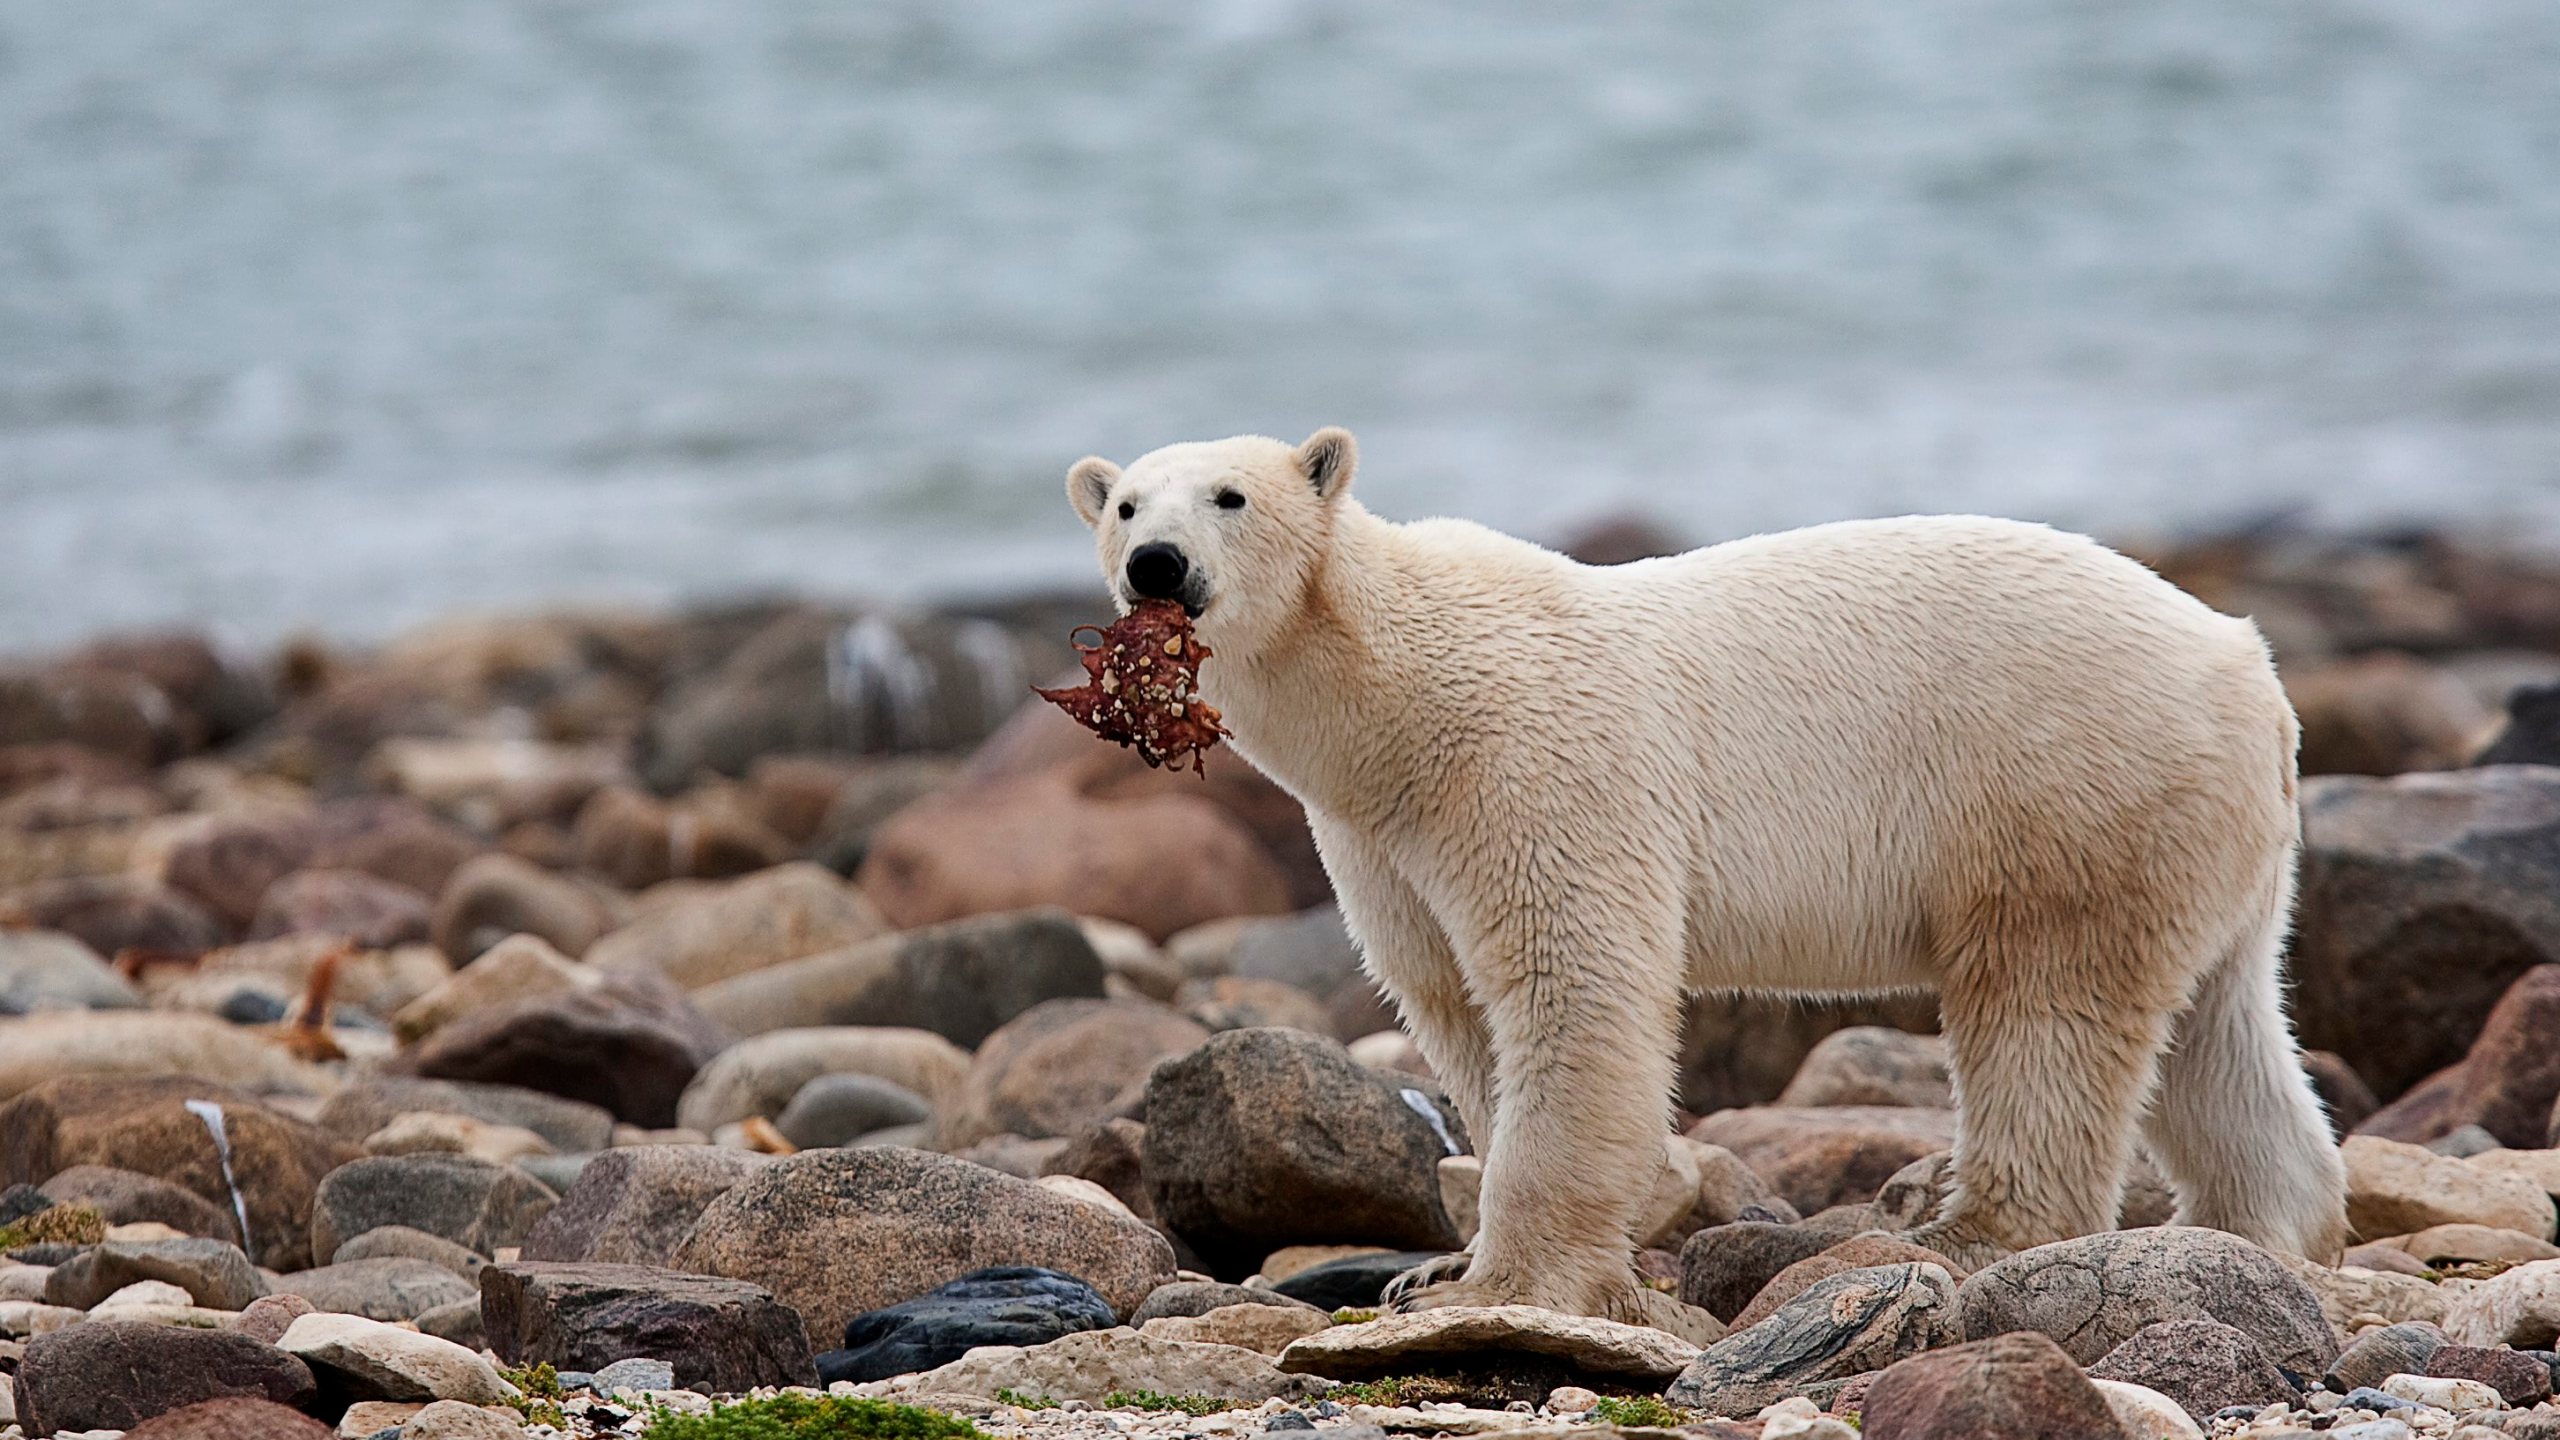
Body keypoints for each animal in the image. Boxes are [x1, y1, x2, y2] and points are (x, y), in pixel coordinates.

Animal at [1063, 426, 2349, 1334]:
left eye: (1229, 496)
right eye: (1125, 503)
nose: (1157, 565)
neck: (1396, 696)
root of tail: (2249, 666)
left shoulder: (1532, 766)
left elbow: (1569, 984)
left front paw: (1498, 1282)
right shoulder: (1378, 839)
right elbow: (1452, 1005)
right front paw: (1436, 1266)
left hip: (2064, 786)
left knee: (2045, 1008)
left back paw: (1970, 1236)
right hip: (2199, 837)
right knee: (2219, 1032)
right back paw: (2262, 1232)